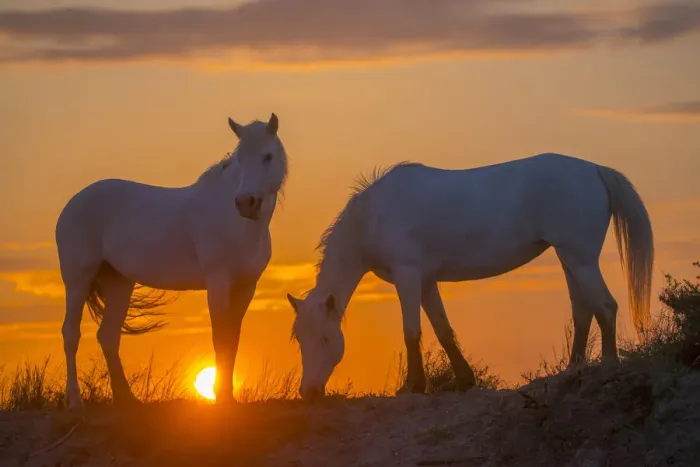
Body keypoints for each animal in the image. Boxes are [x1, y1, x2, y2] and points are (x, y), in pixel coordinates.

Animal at [55, 113, 288, 410]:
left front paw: (229, 397)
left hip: (119, 282)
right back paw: (74, 401)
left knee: (107, 335)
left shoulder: (246, 287)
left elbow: (233, 339)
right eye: (239, 159)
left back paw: (127, 400)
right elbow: (220, 337)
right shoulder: (218, 283)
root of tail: (72, 204)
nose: (245, 202)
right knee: (71, 334)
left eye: (267, 156)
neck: (238, 224)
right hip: (77, 278)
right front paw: (221, 398)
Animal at [286, 153, 654, 401]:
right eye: (301, 340)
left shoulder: (408, 276)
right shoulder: (426, 281)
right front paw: (465, 380)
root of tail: (594, 170)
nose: (310, 392)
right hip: (570, 260)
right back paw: (572, 370)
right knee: (582, 311)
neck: (374, 216)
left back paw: (608, 366)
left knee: (605, 307)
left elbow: (411, 332)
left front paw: (412, 386)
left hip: (581, 259)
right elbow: (442, 330)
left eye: (324, 339)